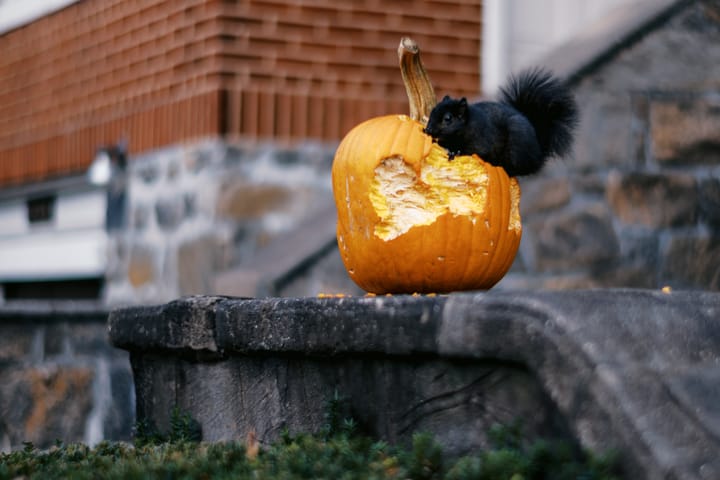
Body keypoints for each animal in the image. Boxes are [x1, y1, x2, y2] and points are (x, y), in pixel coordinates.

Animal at [424, 68, 578, 177]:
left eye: (448, 119)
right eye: (432, 111)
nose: (428, 129)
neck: (467, 125)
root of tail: (538, 155)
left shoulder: (481, 140)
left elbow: (473, 150)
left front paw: (454, 152)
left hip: (516, 149)